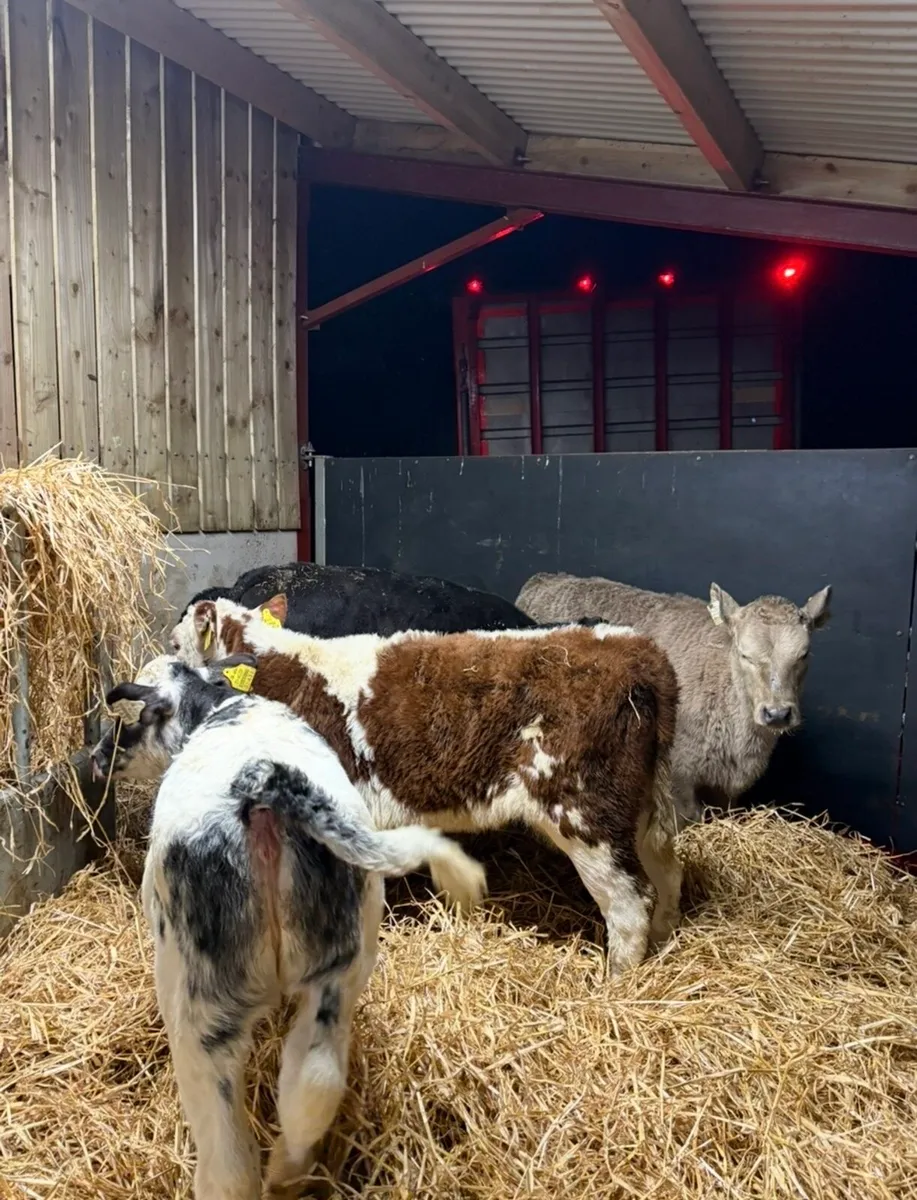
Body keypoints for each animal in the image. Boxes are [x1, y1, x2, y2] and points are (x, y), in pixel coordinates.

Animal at [90, 656, 485, 1200]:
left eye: (130, 720)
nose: (95, 757)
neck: (217, 705)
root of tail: (262, 783)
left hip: (197, 1000)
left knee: (229, 1159)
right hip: (340, 966)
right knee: (313, 1081)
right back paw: (288, 1173)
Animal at [170, 593, 683, 976]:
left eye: (175, 646)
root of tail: (640, 649)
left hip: (584, 813)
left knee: (629, 904)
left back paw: (616, 985)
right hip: (639, 807)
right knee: (668, 873)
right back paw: (664, 943)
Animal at [515, 572, 832, 828]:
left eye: (803, 654)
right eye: (745, 654)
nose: (777, 713)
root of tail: (544, 579)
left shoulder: (728, 787)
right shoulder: (679, 779)